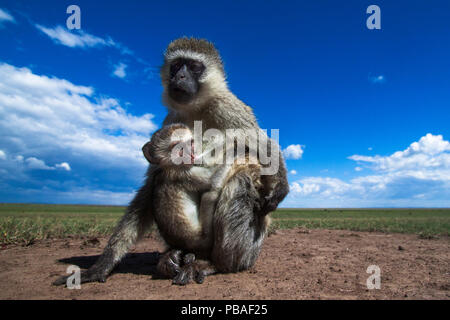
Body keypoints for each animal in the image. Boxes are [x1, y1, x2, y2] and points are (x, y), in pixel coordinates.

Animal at [54, 37, 290, 284]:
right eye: (176, 66)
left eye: (194, 67)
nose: (180, 77)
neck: (197, 108)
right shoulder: (172, 119)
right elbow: (152, 180)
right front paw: (103, 264)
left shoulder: (228, 107)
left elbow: (263, 148)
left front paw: (280, 187)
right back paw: (175, 257)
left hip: (248, 251)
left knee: (239, 179)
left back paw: (216, 264)